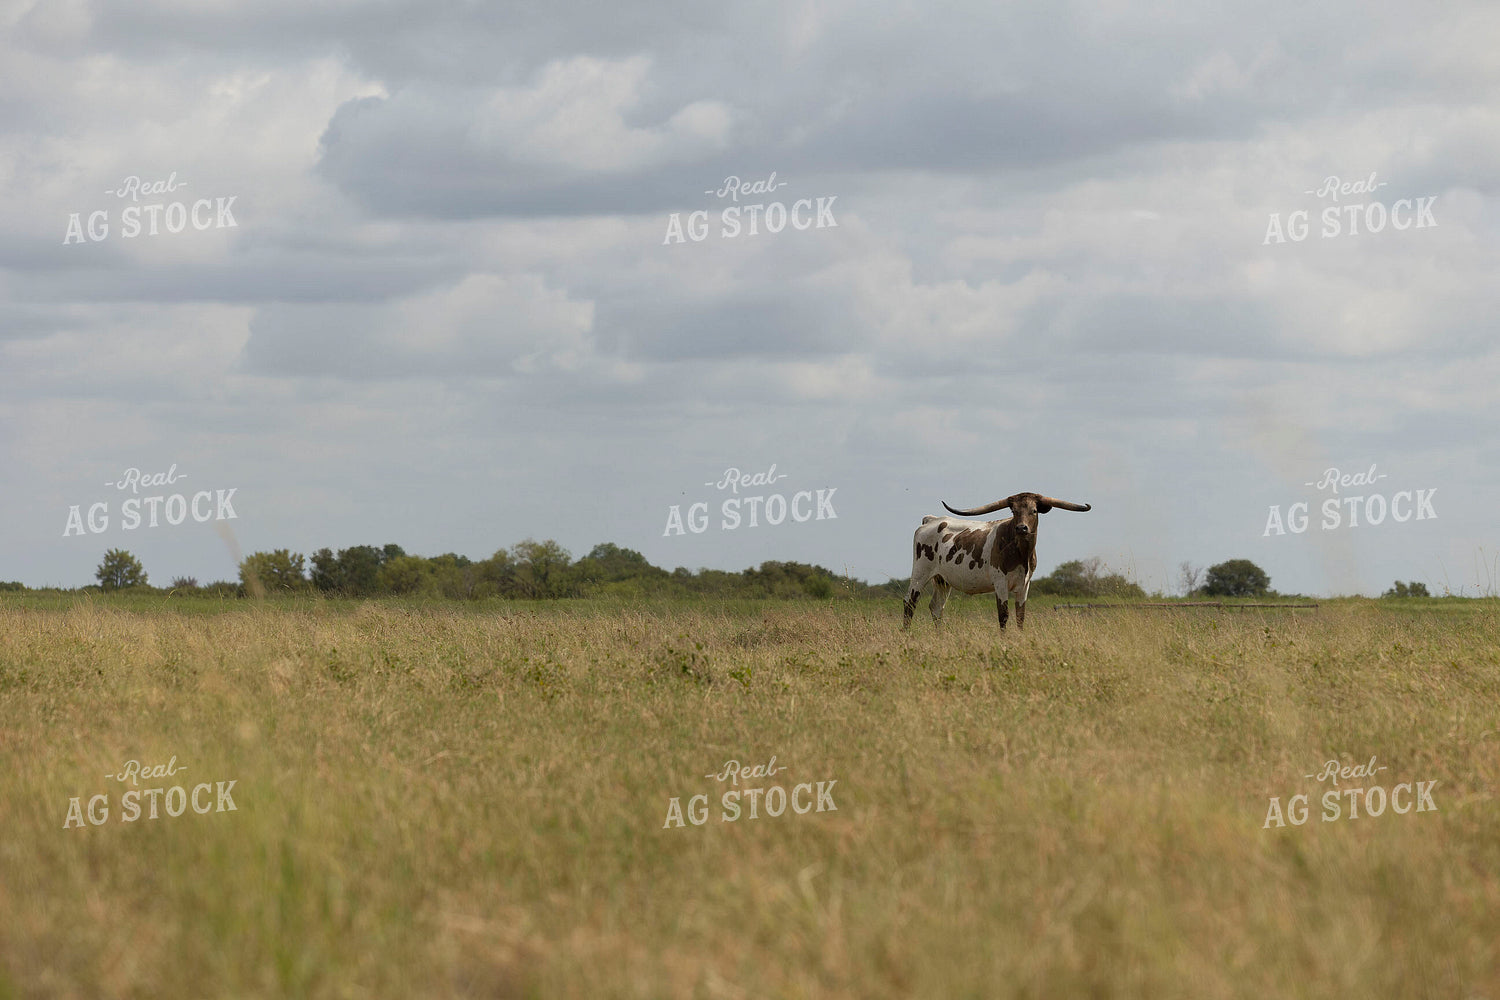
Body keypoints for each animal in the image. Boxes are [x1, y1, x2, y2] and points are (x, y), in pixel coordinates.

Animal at [902, 492, 1092, 630]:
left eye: (1034, 510)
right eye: (1013, 511)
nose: (1021, 528)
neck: (1020, 552)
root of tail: (932, 520)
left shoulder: (1025, 584)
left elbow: (1020, 616)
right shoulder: (1000, 582)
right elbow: (1003, 615)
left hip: (942, 580)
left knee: (936, 607)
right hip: (920, 573)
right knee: (909, 603)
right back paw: (907, 635)